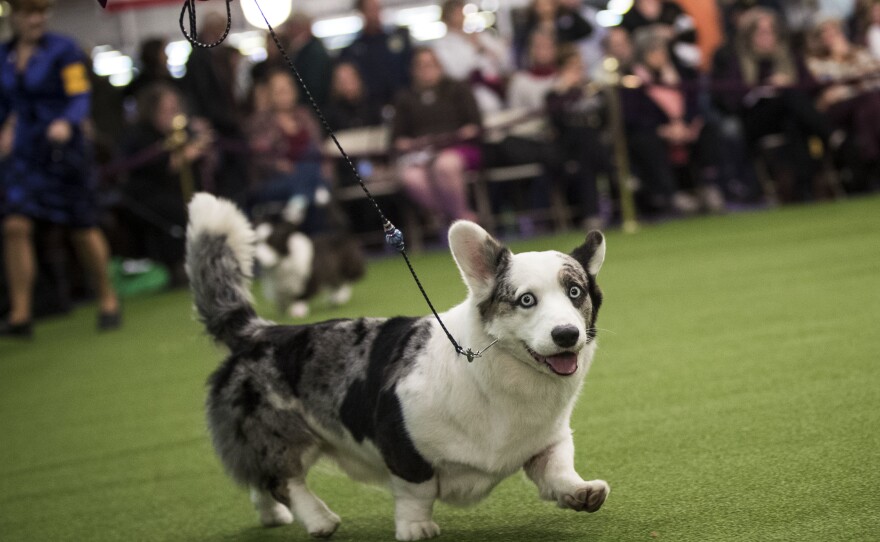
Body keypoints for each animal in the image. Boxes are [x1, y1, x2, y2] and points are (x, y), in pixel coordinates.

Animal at [184, 193, 612, 540]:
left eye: (575, 292)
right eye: (526, 300)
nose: (566, 335)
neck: (503, 380)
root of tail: (258, 332)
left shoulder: (549, 440)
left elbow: (558, 470)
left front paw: (581, 492)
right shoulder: (402, 443)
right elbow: (415, 493)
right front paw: (415, 528)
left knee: (259, 478)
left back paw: (274, 516)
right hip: (282, 434)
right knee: (285, 479)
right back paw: (319, 519)